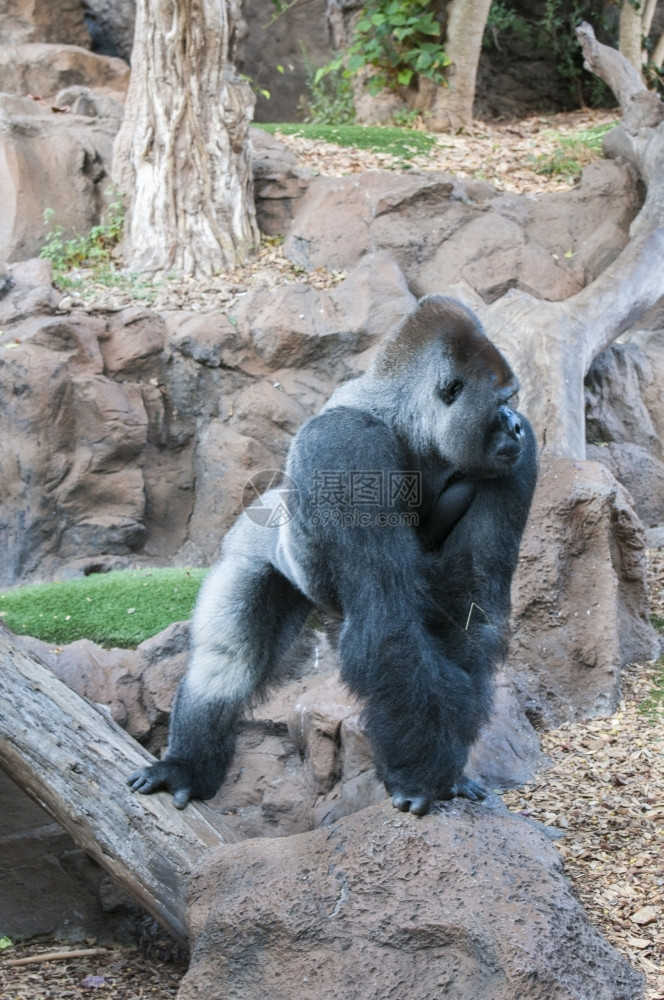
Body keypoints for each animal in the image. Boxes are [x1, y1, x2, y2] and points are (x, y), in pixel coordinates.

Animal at [130, 292, 540, 816]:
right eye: (503, 401)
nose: (517, 426)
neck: (407, 422)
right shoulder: (347, 448)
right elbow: (387, 622)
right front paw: (423, 775)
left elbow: (471, 610)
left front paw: (445, 769)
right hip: (250, 546)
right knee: (225, 658)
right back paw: (188, 764)